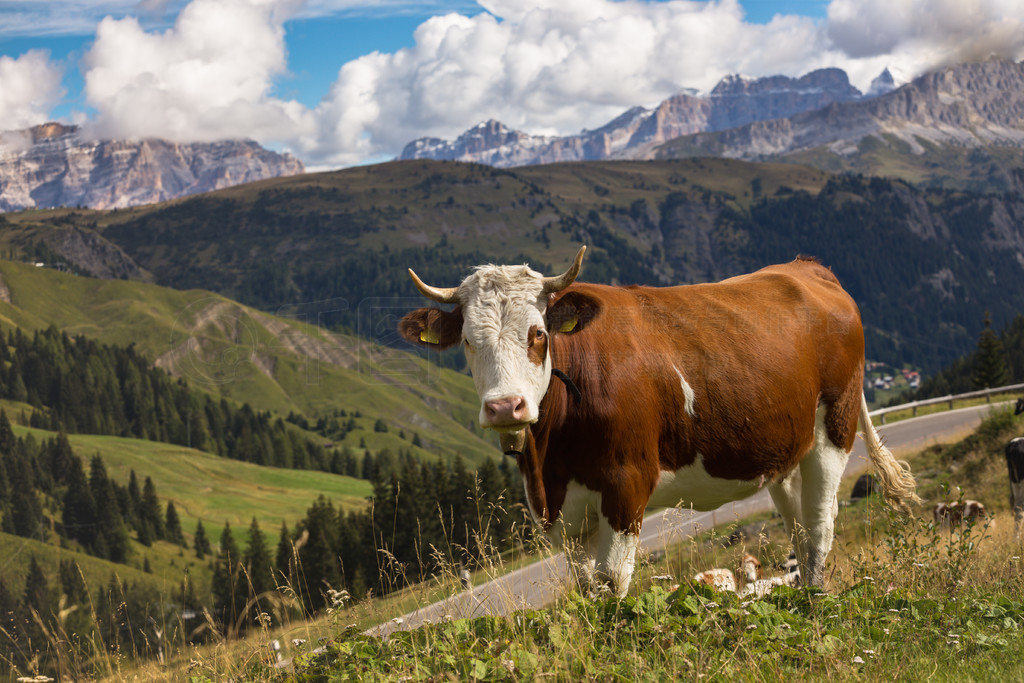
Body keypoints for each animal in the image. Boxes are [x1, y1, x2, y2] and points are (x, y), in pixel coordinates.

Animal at [397, 248, 921, 593]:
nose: (506, 407)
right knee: (799, 528)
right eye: (467, 341)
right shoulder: (559, 512)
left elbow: (612, 581)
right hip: (787, 452)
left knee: (817, 531)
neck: (550, 461)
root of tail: (806, 266)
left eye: (539, 334)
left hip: (834, 429)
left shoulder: (626, 484)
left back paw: (815, 606)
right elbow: (586, 587)